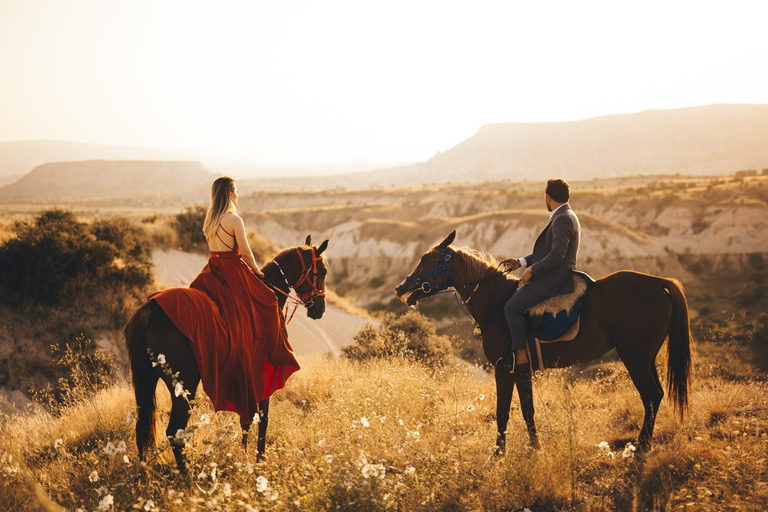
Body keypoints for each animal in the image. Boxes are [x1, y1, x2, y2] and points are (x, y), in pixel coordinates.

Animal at [124, 234, 328, 470]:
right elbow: (262, 419)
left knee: (142, 427)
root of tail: (148, 310)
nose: (320, 309)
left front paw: (244, 456)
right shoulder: (263, 376)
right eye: (323, 271)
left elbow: (247, 422)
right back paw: (188, 474)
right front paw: (258, 460)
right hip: (185, 384)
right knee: (175, 431)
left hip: (149, 379)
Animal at [392, 231, 692, 452]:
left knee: (650, 395)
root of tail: (658, 283)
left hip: (635, 357)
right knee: (657, 394)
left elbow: (503, 412)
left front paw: (498, 454)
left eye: (426, 259)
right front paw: (534, 449)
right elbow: (527, 411)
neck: (496, 303)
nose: (400, 288)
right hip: (646, 357)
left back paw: (642, 446)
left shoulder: (504, 369)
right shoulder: (521, 370)